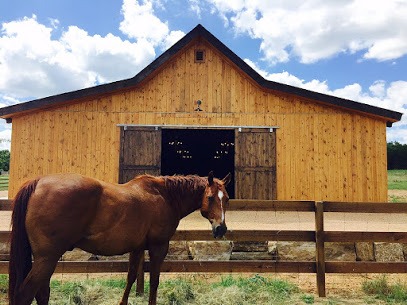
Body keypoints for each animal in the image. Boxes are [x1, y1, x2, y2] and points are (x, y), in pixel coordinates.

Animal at [9, 171, 231, 304]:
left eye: (227, 199)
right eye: (210, 197)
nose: (221, 229)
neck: (165, 195)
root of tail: (38, 182)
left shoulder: (137, 248)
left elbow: (131, 277)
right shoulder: (159, 247)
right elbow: (154, 281)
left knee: (41, 292)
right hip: (47, 258)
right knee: (26, 294)